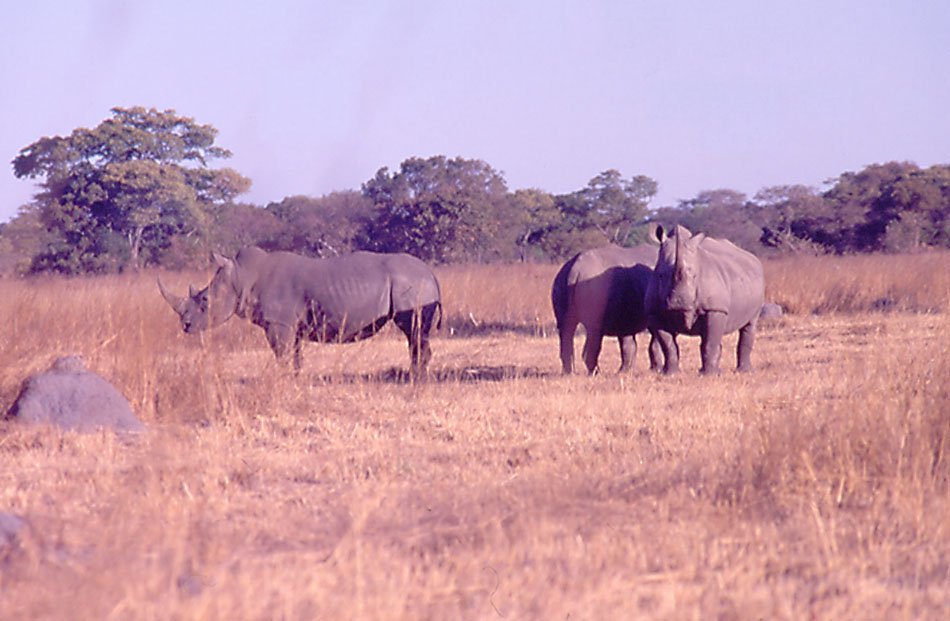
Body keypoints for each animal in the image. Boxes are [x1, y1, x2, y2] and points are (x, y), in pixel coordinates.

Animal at [159, 247, 442, 373]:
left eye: (204, 300)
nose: (185, 326)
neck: (241, 277)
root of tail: (431, 273)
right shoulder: (289, 325)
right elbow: (295, 357)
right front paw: (295, 381)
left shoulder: (279, 324)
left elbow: (282, 356)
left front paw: (282, 382)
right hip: (414, 284)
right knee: (416, 336)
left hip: (412, 286)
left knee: (413, 331)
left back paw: (414, 381)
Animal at [551, 243, 662, 375]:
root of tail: (574, 271)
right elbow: (654, 343)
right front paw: (656, 370)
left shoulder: (625, 316)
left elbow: (628, 344)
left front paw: (624, 372)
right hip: (594, 286)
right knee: (593, 332)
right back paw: (596, 373)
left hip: (560, 281)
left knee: (566, 328)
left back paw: (569, 373)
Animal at [645, 225, 765, 374]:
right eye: (660, 276)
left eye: (695, 276)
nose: (679, 302)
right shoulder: (654, 311)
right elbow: (668, 345)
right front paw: (671, 374)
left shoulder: (715, 308)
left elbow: (710, 343)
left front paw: (708, 376)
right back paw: (718, 371)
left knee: (749, 325)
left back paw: (744, 372)